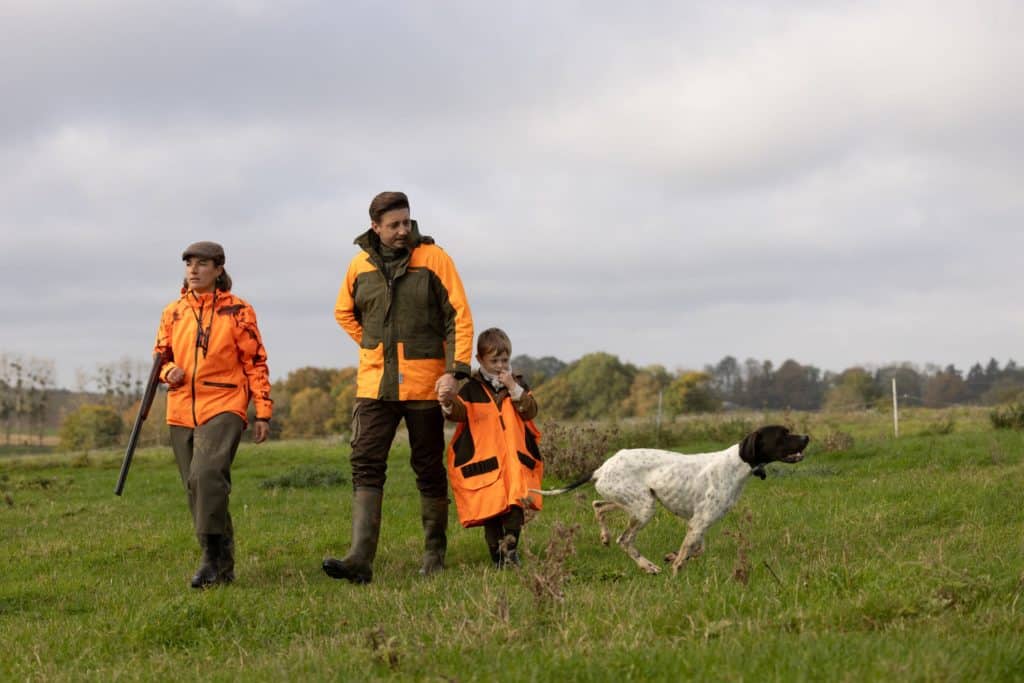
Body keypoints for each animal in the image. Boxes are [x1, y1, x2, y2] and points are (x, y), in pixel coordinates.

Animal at [528, 428, 806, 577]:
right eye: (783, 434)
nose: (806, 437)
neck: (736, 466)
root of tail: (602, 467)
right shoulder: (699, 522)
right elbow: (687, 553)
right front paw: (674, 571)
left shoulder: (698, 524)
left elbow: (696, 549)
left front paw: (671, 556)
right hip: (644, 508)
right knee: (624, 540)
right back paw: (647, 566)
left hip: (633, 501)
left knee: (598, 506)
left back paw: (605, 537)